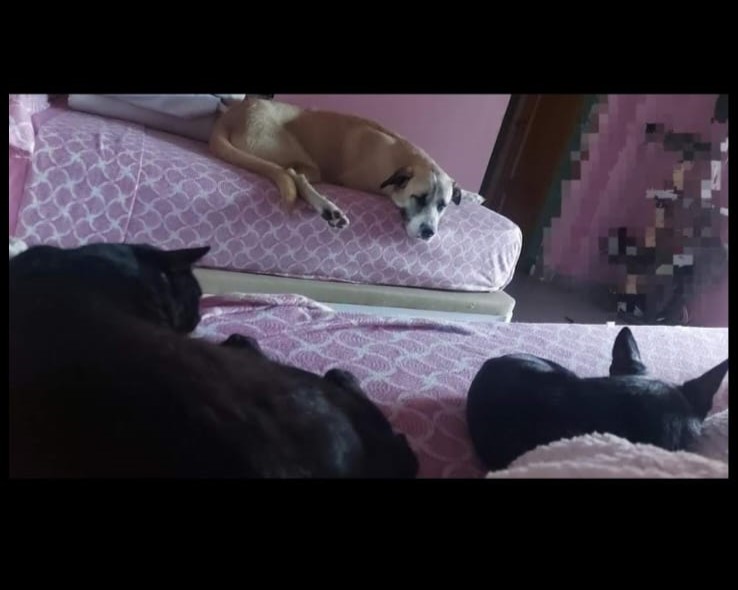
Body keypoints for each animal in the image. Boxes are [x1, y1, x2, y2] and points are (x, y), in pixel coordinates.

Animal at [209, 97, 463, 240]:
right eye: (418, 198)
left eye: (442, 206)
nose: (429, 232)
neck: (403, 157)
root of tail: (232, 115)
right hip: (302, 161)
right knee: (293, 174)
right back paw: (328, 209)